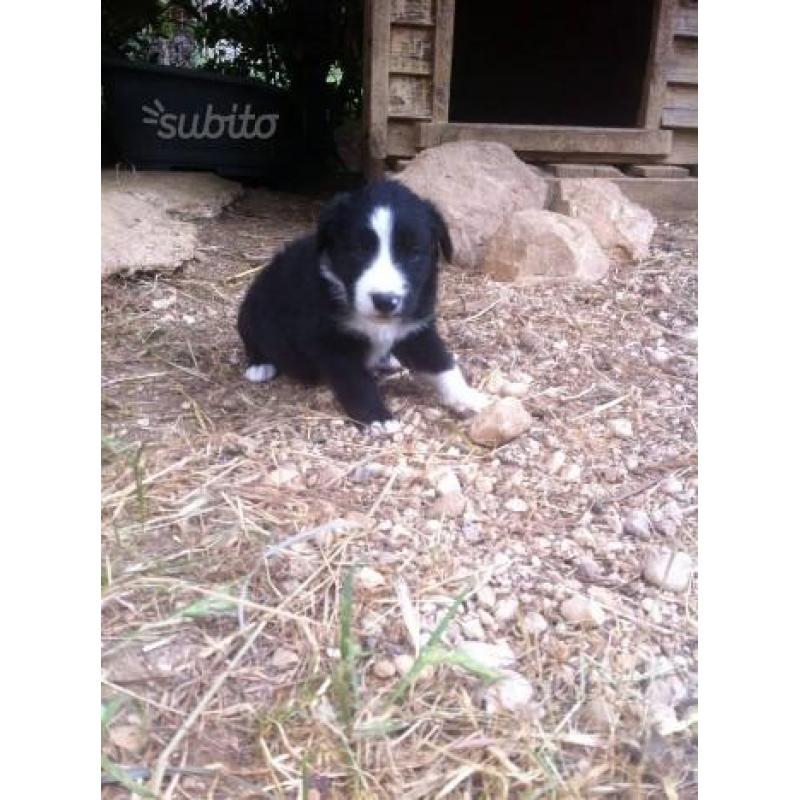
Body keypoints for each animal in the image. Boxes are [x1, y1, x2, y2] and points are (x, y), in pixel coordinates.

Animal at [238, 179, 488, 428]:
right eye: (358, 250)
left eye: (413, 252)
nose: (385, 301)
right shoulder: (332, 344)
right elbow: (357, 384)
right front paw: (378, 418)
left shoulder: (417, 328)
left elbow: (442, 364)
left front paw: (467, 397)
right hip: (251, 311)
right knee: (253, 339)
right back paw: (260, 366)